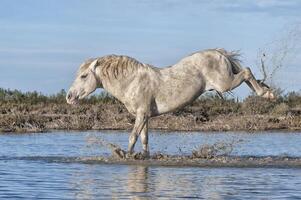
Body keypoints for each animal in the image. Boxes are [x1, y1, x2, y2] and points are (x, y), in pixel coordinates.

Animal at [66, 48, 274, 158]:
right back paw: (266, 90)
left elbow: (132, 137)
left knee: (246, 72)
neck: (132, 81)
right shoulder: (145, 116)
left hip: (224, 84)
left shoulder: (141, 114)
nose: (69, 97)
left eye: (84, 76)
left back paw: (267, 93)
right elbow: (144, 139)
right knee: (246, 74)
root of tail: (218, 53)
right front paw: (143, 156)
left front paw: (125, 154)